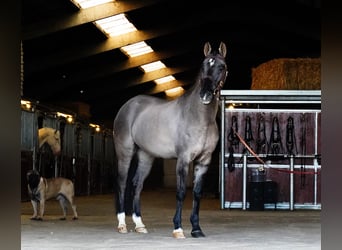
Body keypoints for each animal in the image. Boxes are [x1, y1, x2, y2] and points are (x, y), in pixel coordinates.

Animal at [113, 41, 228, 238]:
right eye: (203, 66)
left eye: (221, 67)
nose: (205, 95)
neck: (199, 117)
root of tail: (128, 106)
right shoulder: (183, 159)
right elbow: (181, 193)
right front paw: (178, 228)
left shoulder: (204, 160)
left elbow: (197, 193)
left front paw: (196, 229)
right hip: (125, 153)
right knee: (121, 183)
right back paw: (122, 224)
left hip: (146, 156)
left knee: (137, 185)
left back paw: (140, 224)